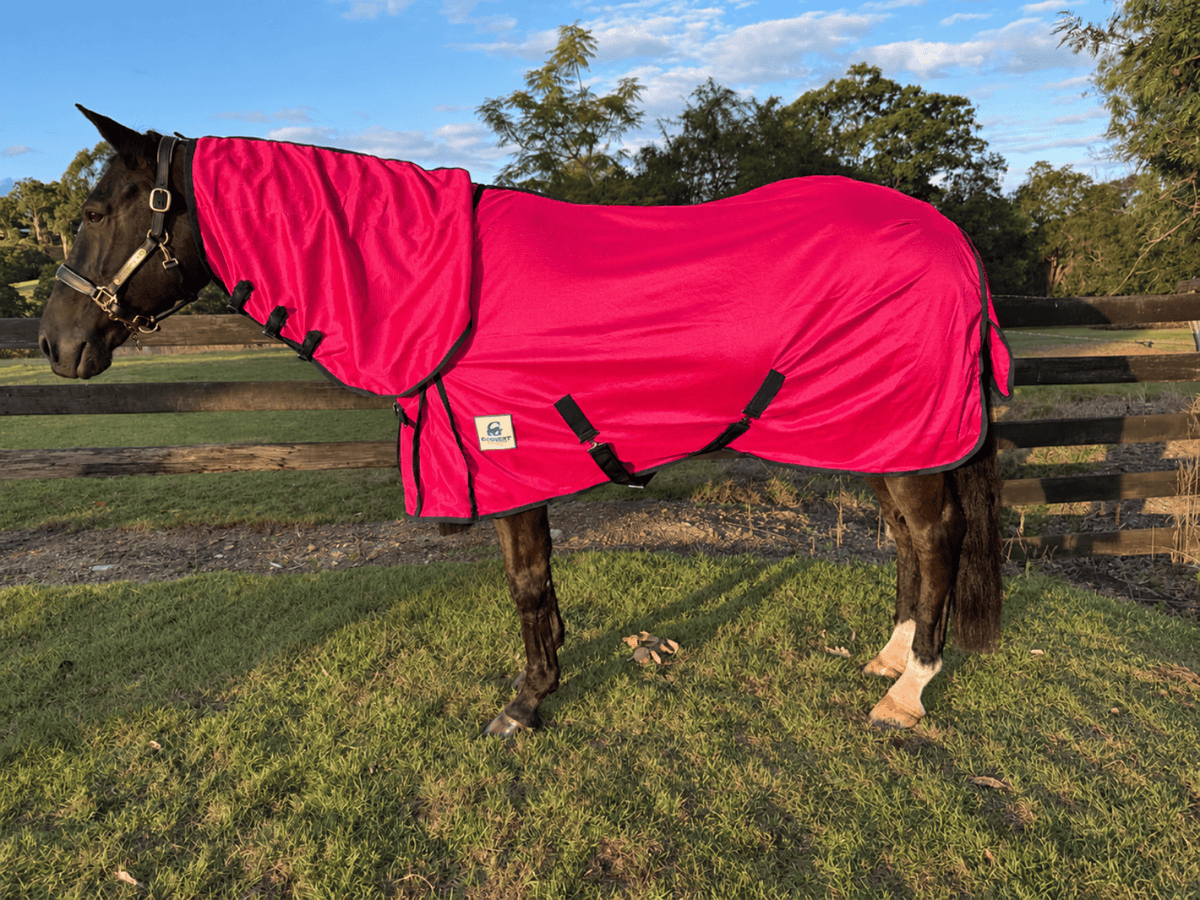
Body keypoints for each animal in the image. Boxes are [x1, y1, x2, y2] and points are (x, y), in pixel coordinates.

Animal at [39, 106, 1011, 735]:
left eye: (94, 212)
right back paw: (890, 658)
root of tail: (951, 237)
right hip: (883, 431)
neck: (443, 287)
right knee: (906, 540)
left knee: (935, 538)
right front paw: (541, 686)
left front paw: (526, 700)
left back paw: (907, 693)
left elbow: (527, 585)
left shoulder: (506, 458)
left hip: (906, 434)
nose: (55, 342)